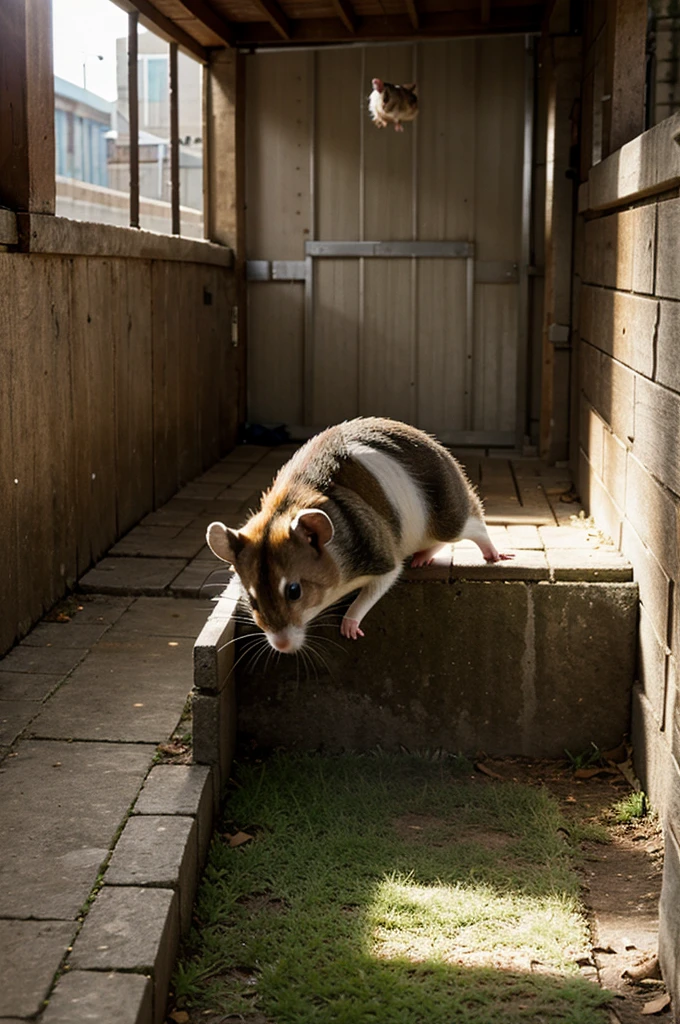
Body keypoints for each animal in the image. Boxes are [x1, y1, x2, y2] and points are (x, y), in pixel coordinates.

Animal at [206, 417, 510, 651]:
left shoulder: (377, 553)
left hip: (449, 511)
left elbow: (382, 582)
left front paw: (350, 623)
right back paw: (424, 556)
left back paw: (492, 552)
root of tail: (438, 447)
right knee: (436, 542)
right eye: (252, 600)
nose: (282, 645)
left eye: (294, 591)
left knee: (473, 525)